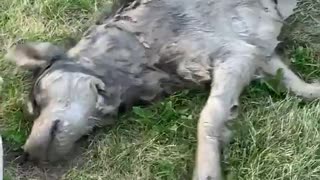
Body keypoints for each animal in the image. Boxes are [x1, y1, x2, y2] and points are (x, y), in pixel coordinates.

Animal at [5, 0, 316, 179]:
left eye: (36, 102)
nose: (27, 153)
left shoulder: (236, 54)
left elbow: (208, 118)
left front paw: (207, 170)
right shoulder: (256, 52)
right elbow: (295, 83)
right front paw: (315, 91)